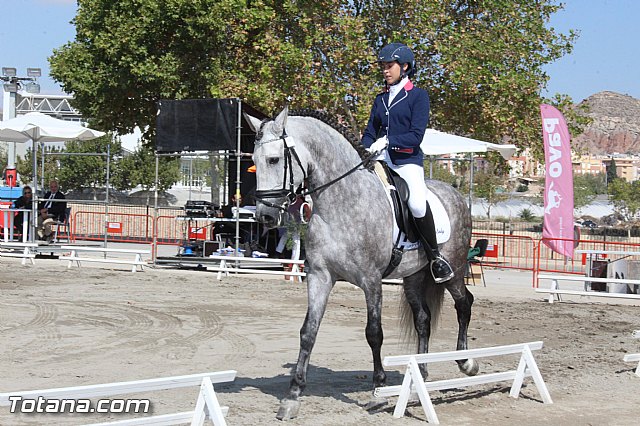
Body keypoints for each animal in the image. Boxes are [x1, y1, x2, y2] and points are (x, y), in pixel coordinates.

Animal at [244, 106, 478, 420]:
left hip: (453, 269)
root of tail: (453, 192)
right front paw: (292, 396)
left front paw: (378, 391)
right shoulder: (320, 276)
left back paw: (466, 362)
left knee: (464, 303)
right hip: (413, 277)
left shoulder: (371, 280)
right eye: (254, 161)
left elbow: (374, 333)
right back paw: (420, 373)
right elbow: (308, 332)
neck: (340, 202)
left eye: (274, 159)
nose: (266, 217)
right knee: (423, 319)